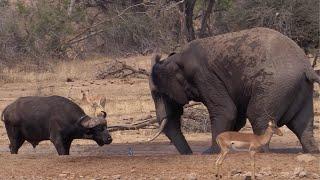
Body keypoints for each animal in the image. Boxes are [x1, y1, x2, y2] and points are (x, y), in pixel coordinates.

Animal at [149, 27, 320, 154]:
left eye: (159, 94)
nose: (190, 154)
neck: (176, 58)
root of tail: (307, 67)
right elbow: (236, 117)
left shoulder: (204, 76)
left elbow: (226, 111)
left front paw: (210, 152)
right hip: (298, 88)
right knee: (302, 123)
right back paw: (311, 151)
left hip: (274, 86)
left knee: (257, 115)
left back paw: (259, 151)